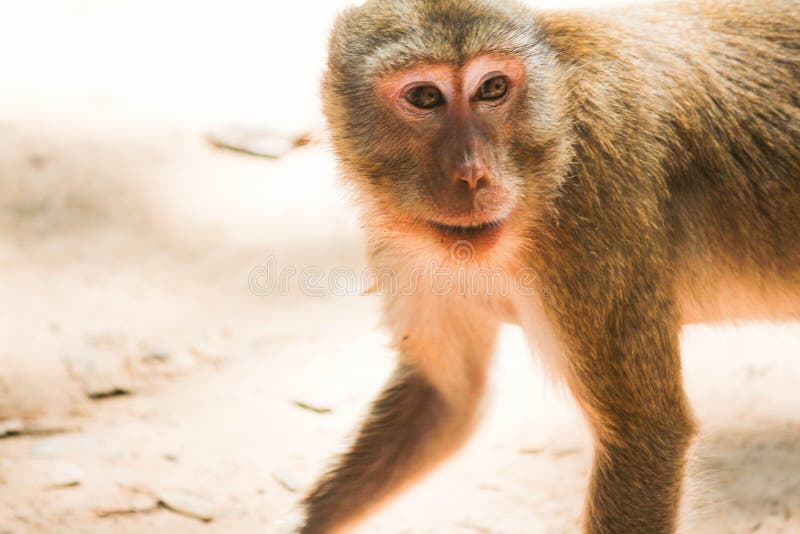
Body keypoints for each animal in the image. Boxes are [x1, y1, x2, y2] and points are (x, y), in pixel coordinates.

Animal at [296, 0, 800, 532]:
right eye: (425, 97)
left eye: (492, 89)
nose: (472, 174)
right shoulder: (402, 242)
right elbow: (445, 399)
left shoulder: (595, 209)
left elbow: (646, 435)